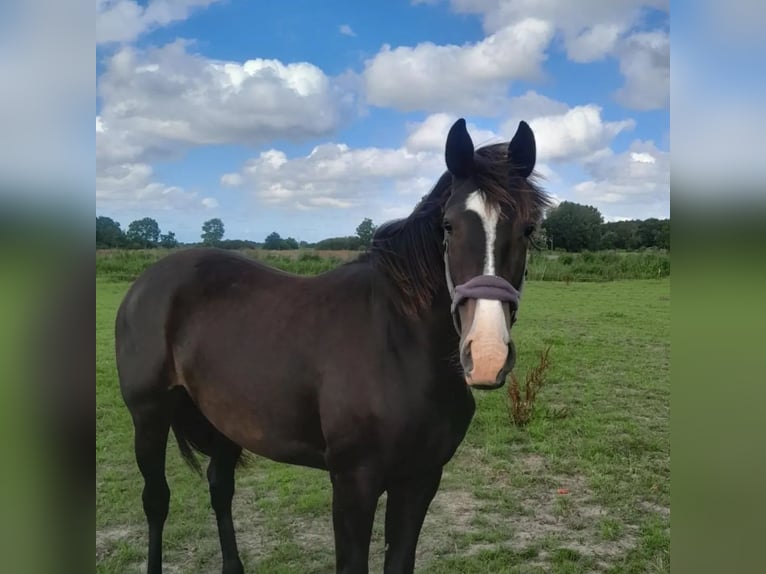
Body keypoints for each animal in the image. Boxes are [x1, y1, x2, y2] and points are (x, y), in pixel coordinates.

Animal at [115, 118, 552, 574]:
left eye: (529, 228)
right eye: (449, 226)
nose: (486, 355)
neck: (399, 347)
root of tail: (148, 281)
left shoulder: (420, 480)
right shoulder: (353, 483)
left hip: (222, 419)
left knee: (220, 488)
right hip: (149, 415)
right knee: (157, 500)